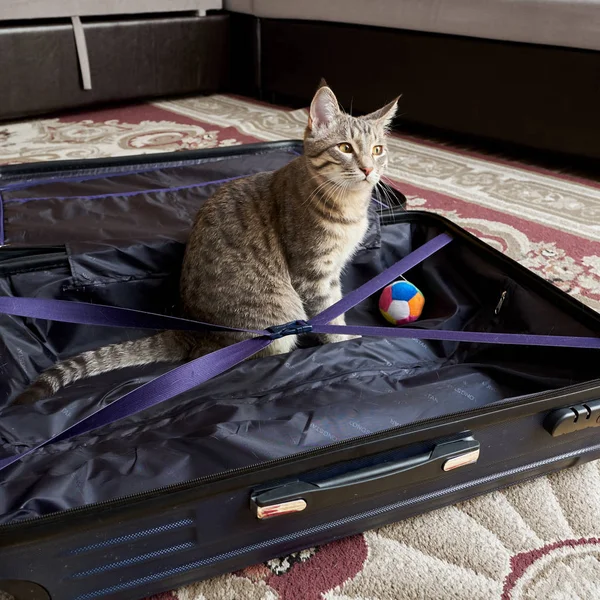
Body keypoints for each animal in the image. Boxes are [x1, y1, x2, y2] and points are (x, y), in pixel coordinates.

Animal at [15, 84, 398, 404]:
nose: (369, 169)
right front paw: (343, 344)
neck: (347, 204)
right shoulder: (313, 273)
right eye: (345, 148)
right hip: (277, 312)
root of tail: (195, 332)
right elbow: (329, 313)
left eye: (378, 150)